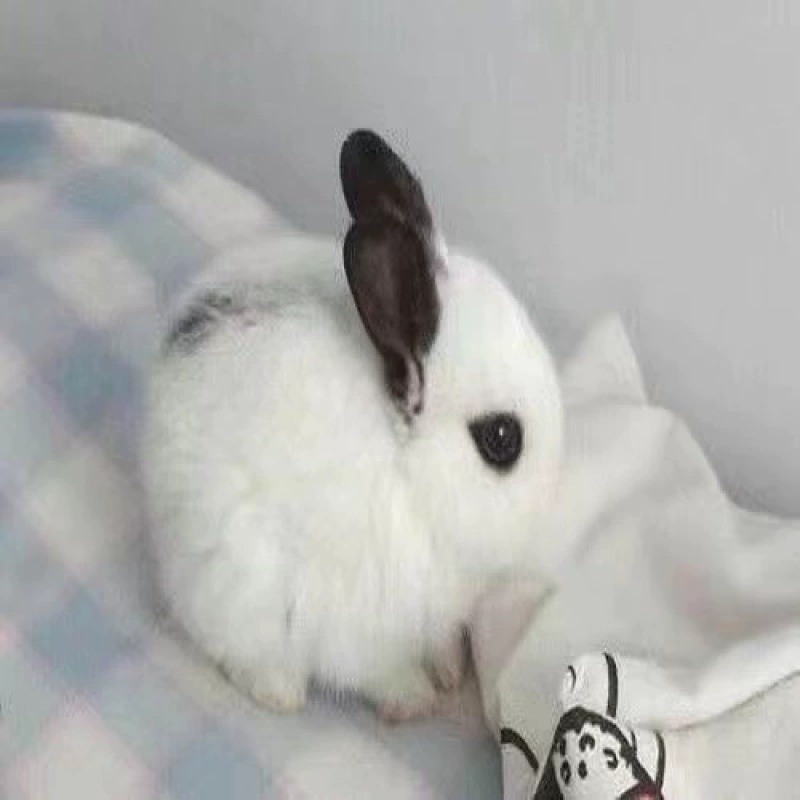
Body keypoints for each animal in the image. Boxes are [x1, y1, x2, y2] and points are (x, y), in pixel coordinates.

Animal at [142, 129, 563, 721]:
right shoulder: (360, 625)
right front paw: (415, 701)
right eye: (502, 439)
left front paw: (450, 671)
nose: (552, 496)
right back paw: (280, 693)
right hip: (231, 582)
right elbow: (379, 672)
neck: (410, 473)